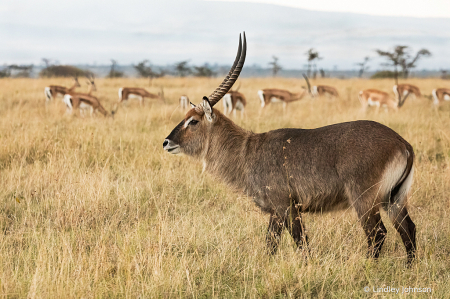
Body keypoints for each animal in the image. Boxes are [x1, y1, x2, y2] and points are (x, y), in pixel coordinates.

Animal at [164, 33, 418, 264]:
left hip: (365, 199)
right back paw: (409, 267)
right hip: (394, 199)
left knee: (378, 233)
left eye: (193, 121)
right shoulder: (275, 212)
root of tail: (402, 143)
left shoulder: (287, 206)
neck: (246, 151)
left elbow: (301, 242)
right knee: (408, 229)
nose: (166, 142)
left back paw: (367, 267)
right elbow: (271, 244)